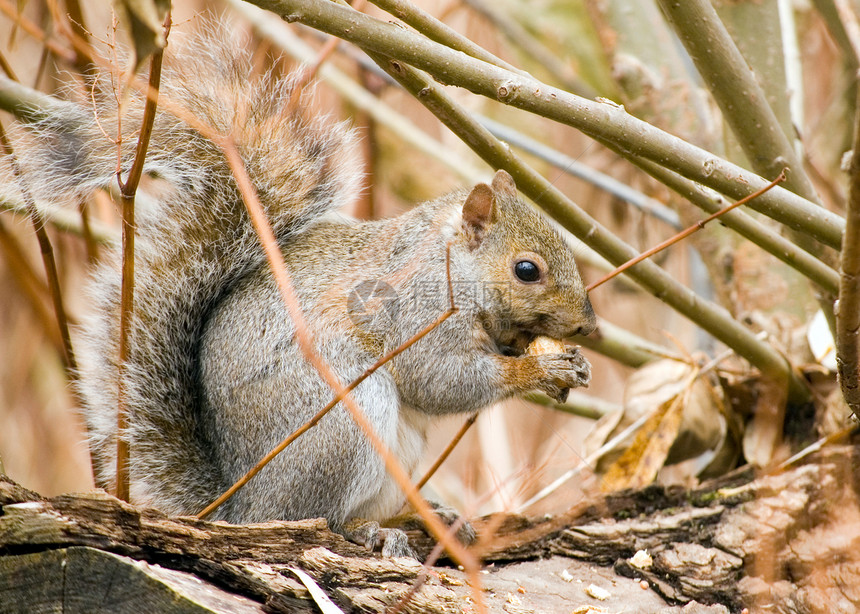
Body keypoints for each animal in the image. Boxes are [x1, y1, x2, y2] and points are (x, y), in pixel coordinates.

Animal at [6, 28, 596, 560]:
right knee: (318, 518)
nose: (586, 325)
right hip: (341, 424)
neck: (452, 264)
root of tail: (237, 505)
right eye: (526, 270)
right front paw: (537, 369)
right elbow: (440, 381)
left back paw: (423, 516)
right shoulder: (416, 313)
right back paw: (367, 532)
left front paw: (566, 362)